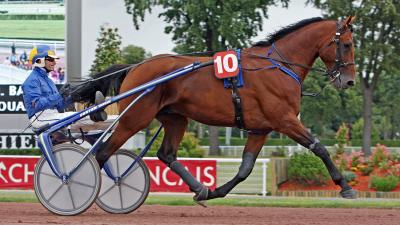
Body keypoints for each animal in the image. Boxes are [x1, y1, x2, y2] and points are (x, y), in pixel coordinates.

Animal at [74, 16, 356, 202]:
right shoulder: (285, 120)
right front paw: (345, 186)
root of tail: (135, 67)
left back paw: (200, 188)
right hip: (135, 118)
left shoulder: (261, 129)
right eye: (347, 44)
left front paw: (215, 191)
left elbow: (245, 168)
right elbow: (319, 148)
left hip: (175, 118)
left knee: (166, 154)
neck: (278, 65)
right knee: (102, 153)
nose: (349, 81)